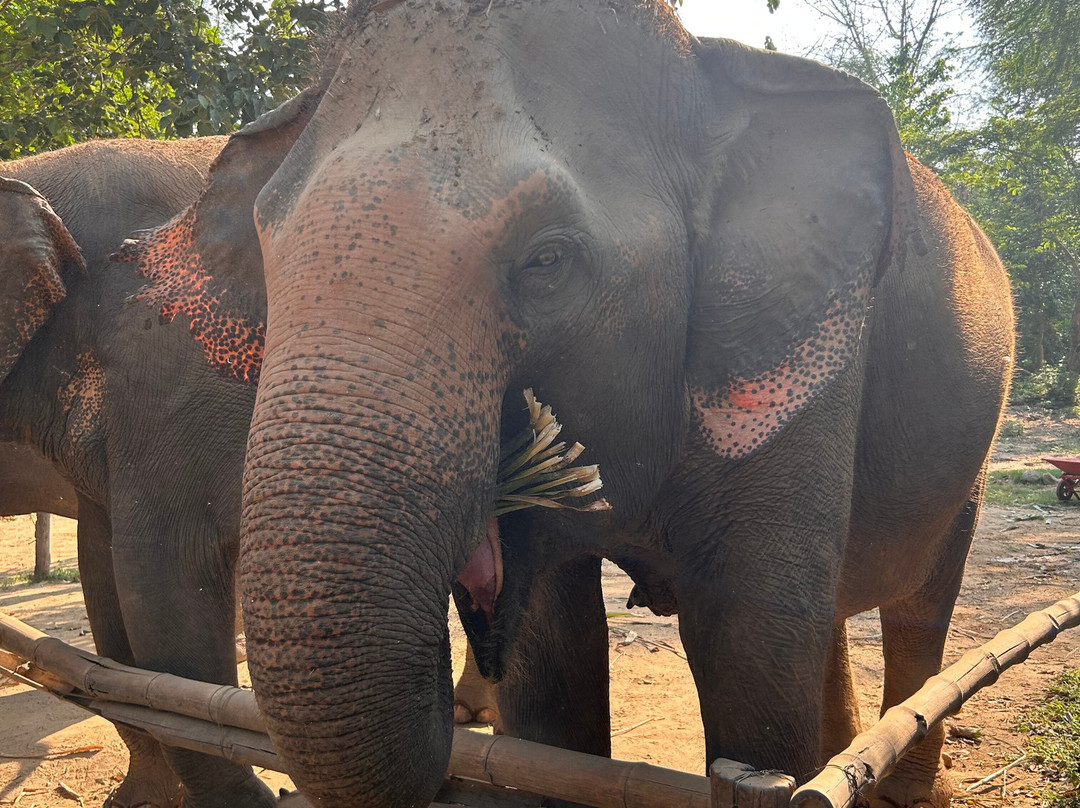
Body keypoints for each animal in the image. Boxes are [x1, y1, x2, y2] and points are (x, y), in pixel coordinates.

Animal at [221, 2, 1014, 807]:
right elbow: (553, 654)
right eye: (263, 247)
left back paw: (901, 789)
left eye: (548, 259)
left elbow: (746, 642)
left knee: (920, 604)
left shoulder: (801, 368)